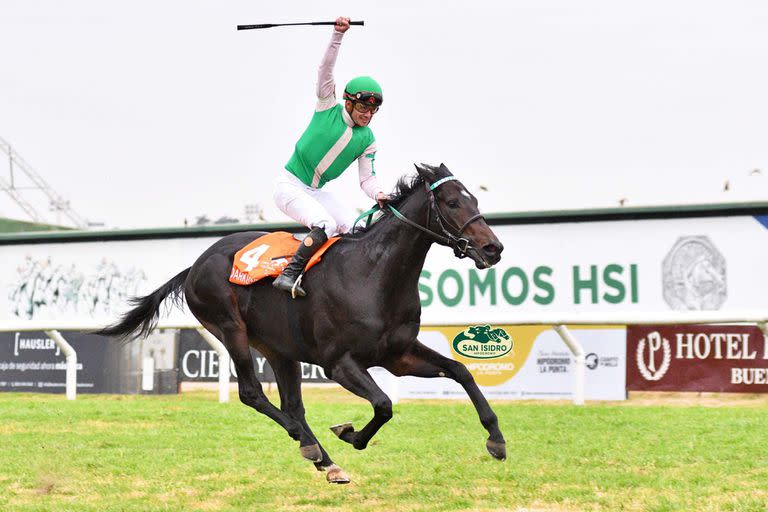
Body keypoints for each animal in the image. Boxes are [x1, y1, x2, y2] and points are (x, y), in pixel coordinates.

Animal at [100, 165, 504, 484]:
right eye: (452, 203)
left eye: (474, 200)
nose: (493, 249)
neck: (373, 274)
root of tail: (195, 265)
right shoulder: (338, 364)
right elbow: (384, 404)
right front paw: (350, 434)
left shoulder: (398, 355)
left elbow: (460, 371)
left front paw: (496, 439)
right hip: (231, 329)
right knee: (253, 393)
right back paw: (310, 445)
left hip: (279, 348)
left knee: (293, 404)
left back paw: (326, 461)